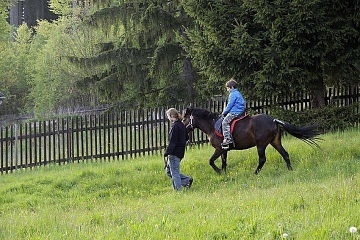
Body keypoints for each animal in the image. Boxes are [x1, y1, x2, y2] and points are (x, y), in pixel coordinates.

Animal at [183, 107, 320, 174]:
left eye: (184, 119)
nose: (183, 130)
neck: (211, 125)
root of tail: (274, 120)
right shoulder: (224, 150)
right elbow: (224, 162)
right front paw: (224, 173)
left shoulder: (219, 148)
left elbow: (211, 161)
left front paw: (219, 172)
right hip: (275, 142)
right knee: (285, 154)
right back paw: (290, 170)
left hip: (261, 145)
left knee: (262, 159)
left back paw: (255, 173)